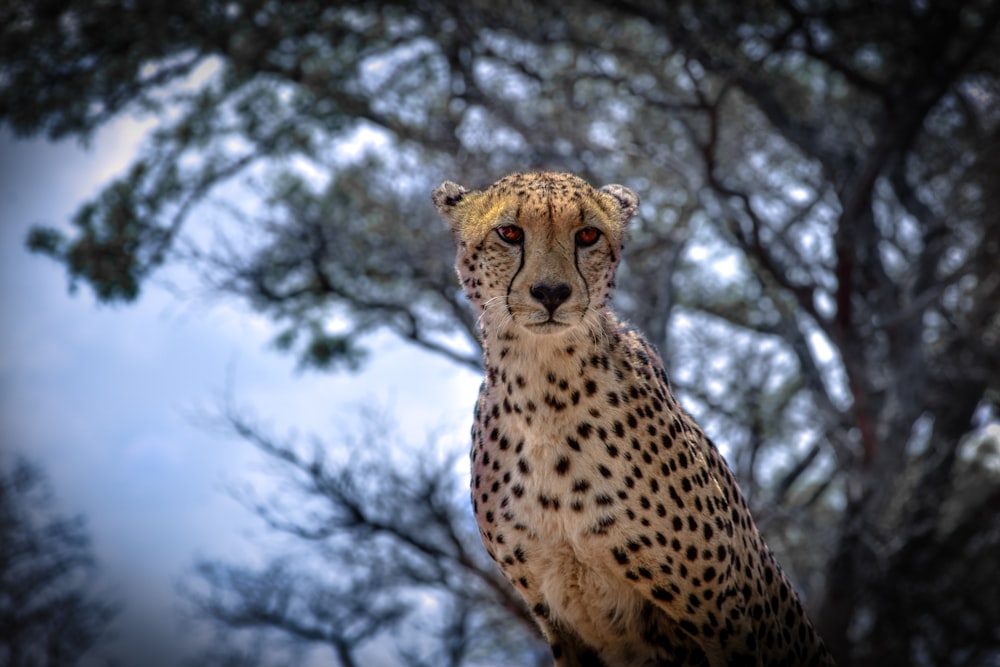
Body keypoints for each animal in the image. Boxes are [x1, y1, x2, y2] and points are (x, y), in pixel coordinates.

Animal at [434, 174, 832, 667]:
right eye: (509, 233)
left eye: (588, 235)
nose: (551, 293)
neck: (545, 393)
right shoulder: (562, 623)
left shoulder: (726, 618)